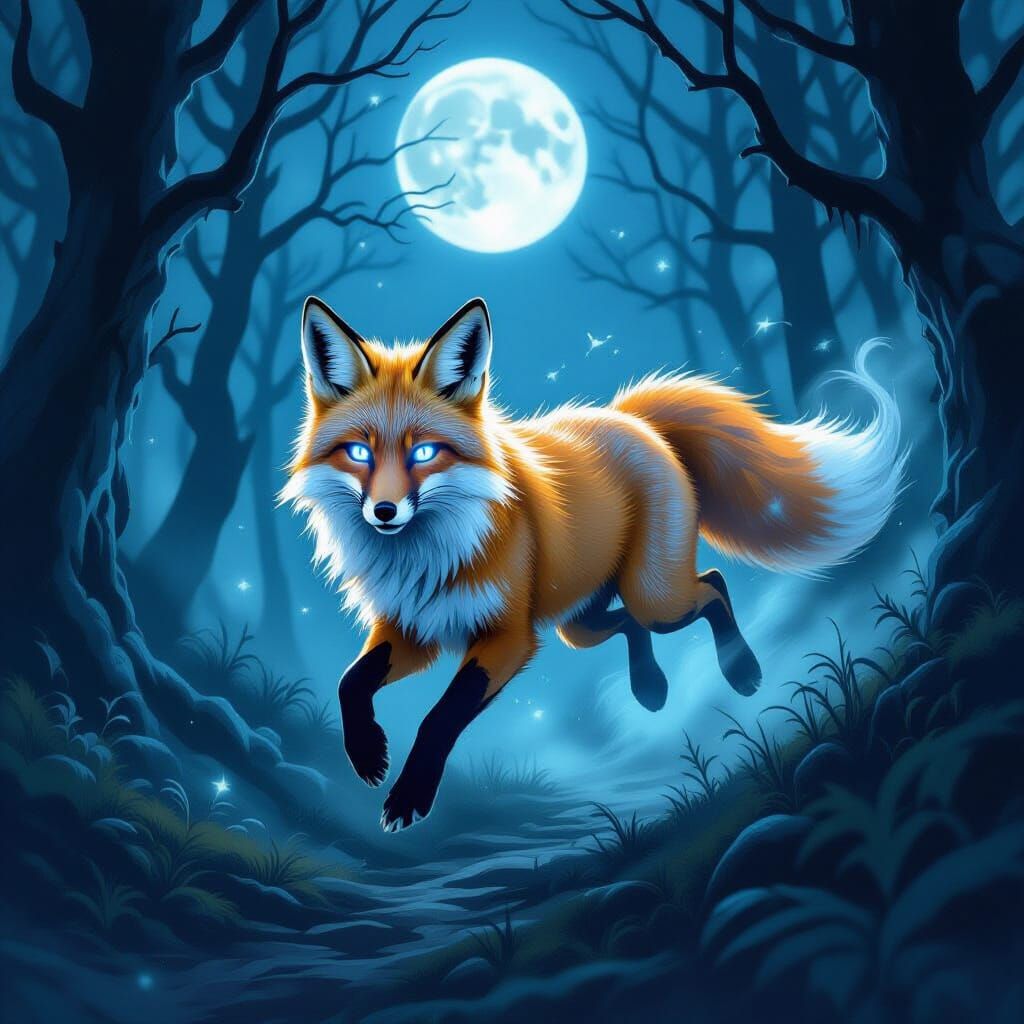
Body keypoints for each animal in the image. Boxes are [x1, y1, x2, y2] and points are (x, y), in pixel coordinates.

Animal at [282, 296, 904, 831]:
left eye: (425, 453)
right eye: (359, 453)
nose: (384, 512)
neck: (426, 558)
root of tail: (631, 419)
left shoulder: (508, 638)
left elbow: (440, 716)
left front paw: (410, 795)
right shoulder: (414, 628)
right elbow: (350, 681)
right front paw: (367, 753)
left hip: (656, 599)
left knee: (711, 587)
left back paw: (740, 669)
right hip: (575, 626)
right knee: (629, 623)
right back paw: (650, 685)